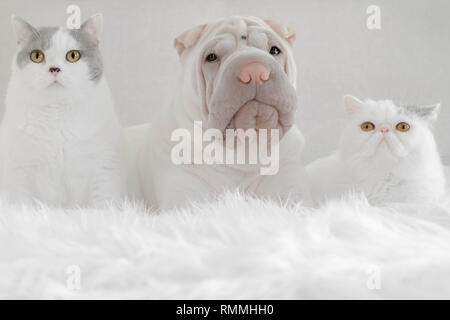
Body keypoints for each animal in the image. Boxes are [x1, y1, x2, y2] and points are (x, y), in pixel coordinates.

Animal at [0, 15, 125, 206]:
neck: (56, 112)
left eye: (73, 55)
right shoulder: (18, 171)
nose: (54, 69)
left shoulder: (103, 169)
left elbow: (103, 202)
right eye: (37, 56)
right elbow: (23, 204)